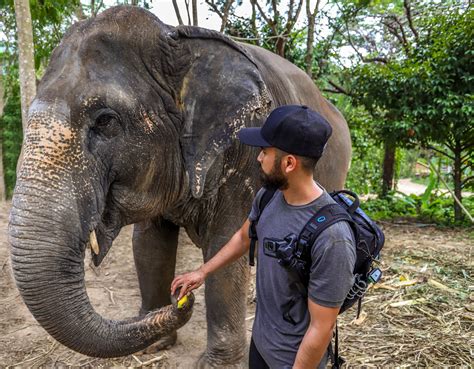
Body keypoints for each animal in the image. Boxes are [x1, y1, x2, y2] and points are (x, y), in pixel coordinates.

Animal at [8, 4, 352, 366]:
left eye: (105, 121)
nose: (180, 298)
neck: (176, 36)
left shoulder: (246, 153)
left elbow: (226, 244)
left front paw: (216, 365)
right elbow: (148, 244)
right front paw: (155, 345)